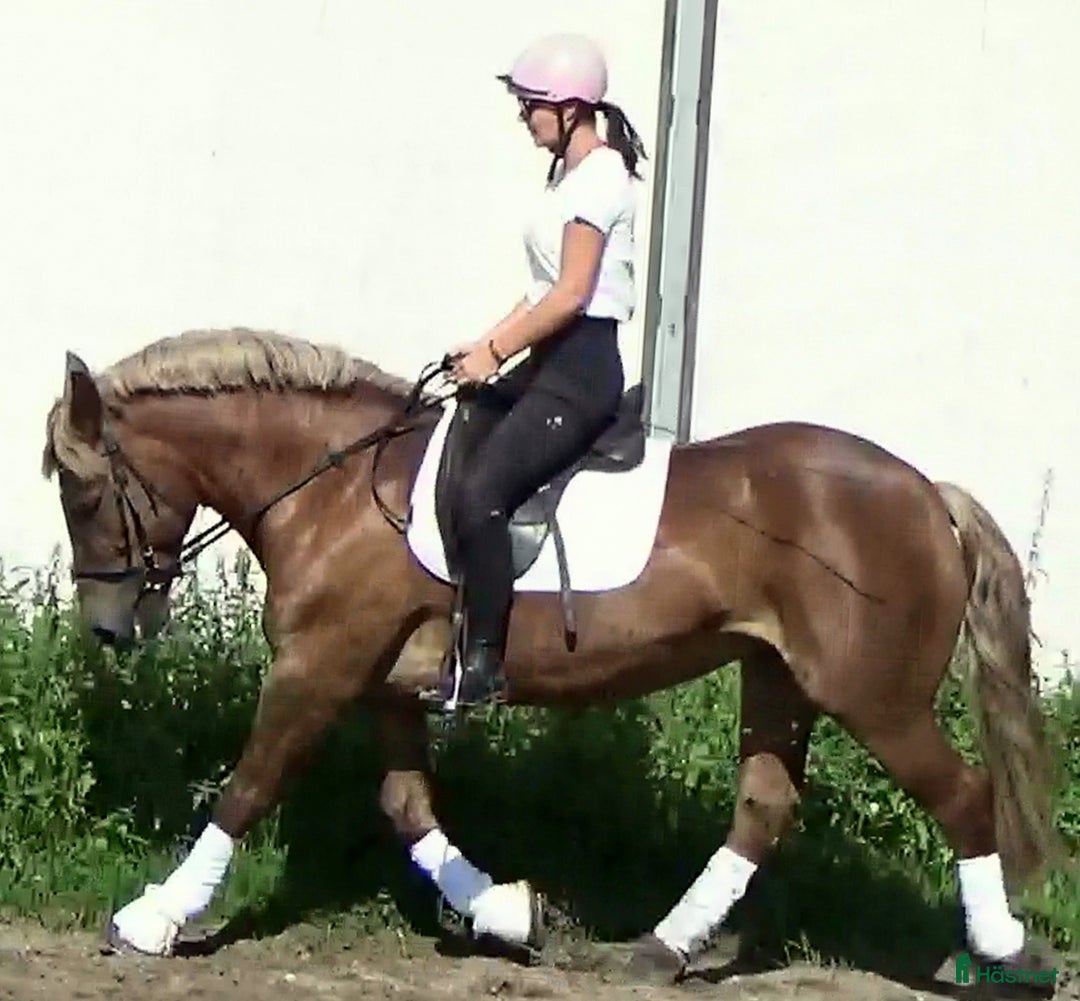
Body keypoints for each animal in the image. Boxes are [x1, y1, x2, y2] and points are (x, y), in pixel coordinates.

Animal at [41, 326, 1060, 985]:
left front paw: (152, 917)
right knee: (765, 808)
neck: (334, 487)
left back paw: (1002, 950)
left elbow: (247, 787)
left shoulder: (317, 667)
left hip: (873, 694)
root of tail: (926, 491)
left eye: (84, 493)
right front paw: (509, 911)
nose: (110, 629)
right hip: (779, 677)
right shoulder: (385, 686)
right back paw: (662, 947)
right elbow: (408, 808)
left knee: (964, 796)